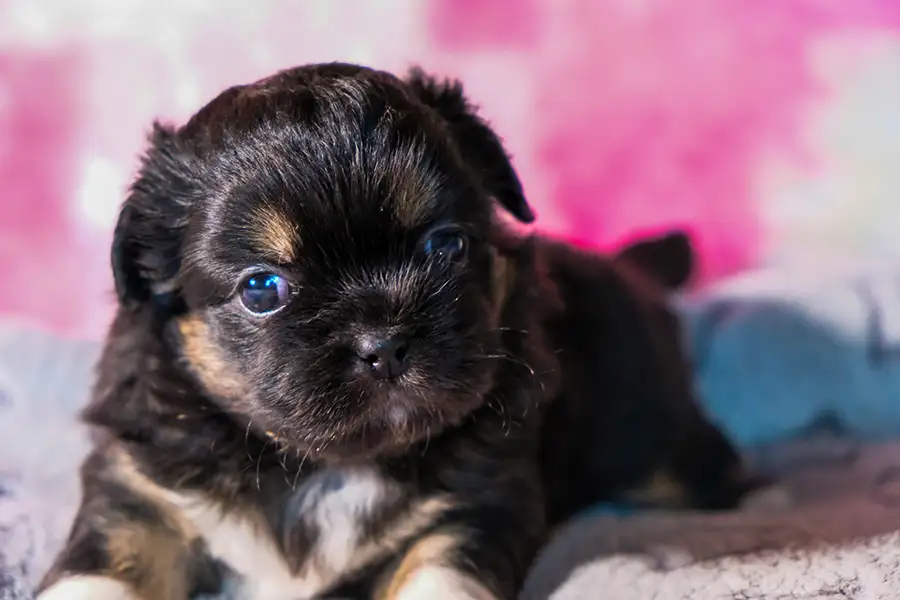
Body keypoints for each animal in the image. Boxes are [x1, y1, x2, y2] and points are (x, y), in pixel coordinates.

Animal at [38, 64, 768, 600]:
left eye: (445, 246)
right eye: (261, 289)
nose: (383, 342)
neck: (327, 465)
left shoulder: (475, 505)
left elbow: (441, 575)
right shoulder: (139, 499)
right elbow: (94, 572)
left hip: (649, 439)